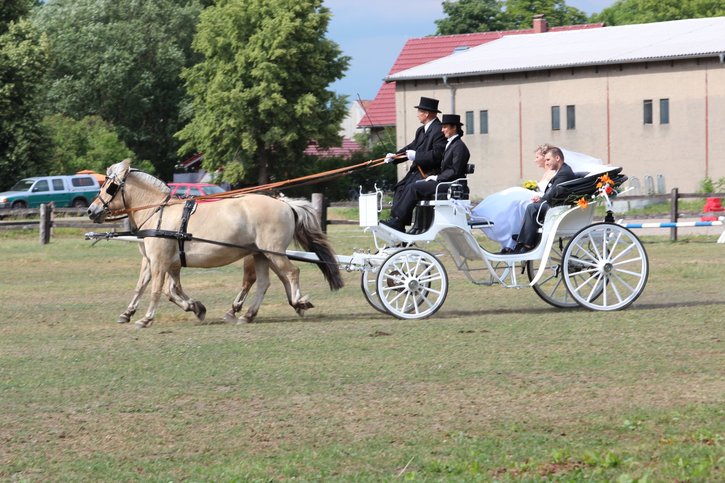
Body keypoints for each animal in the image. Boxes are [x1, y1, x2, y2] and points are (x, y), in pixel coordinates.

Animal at [87, 159, 342, 328]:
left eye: (110, 187)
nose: (91, 210)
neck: (158, 212)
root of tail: (285, 204)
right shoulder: (154, 261)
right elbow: (149, 287)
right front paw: (129, 312)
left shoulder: (160, 261)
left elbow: (157, 290)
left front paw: (146, 318)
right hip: (261, 254)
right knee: (265, 282)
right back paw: (250, 314)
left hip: (273, 251)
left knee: (291, 272)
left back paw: (298, 301)